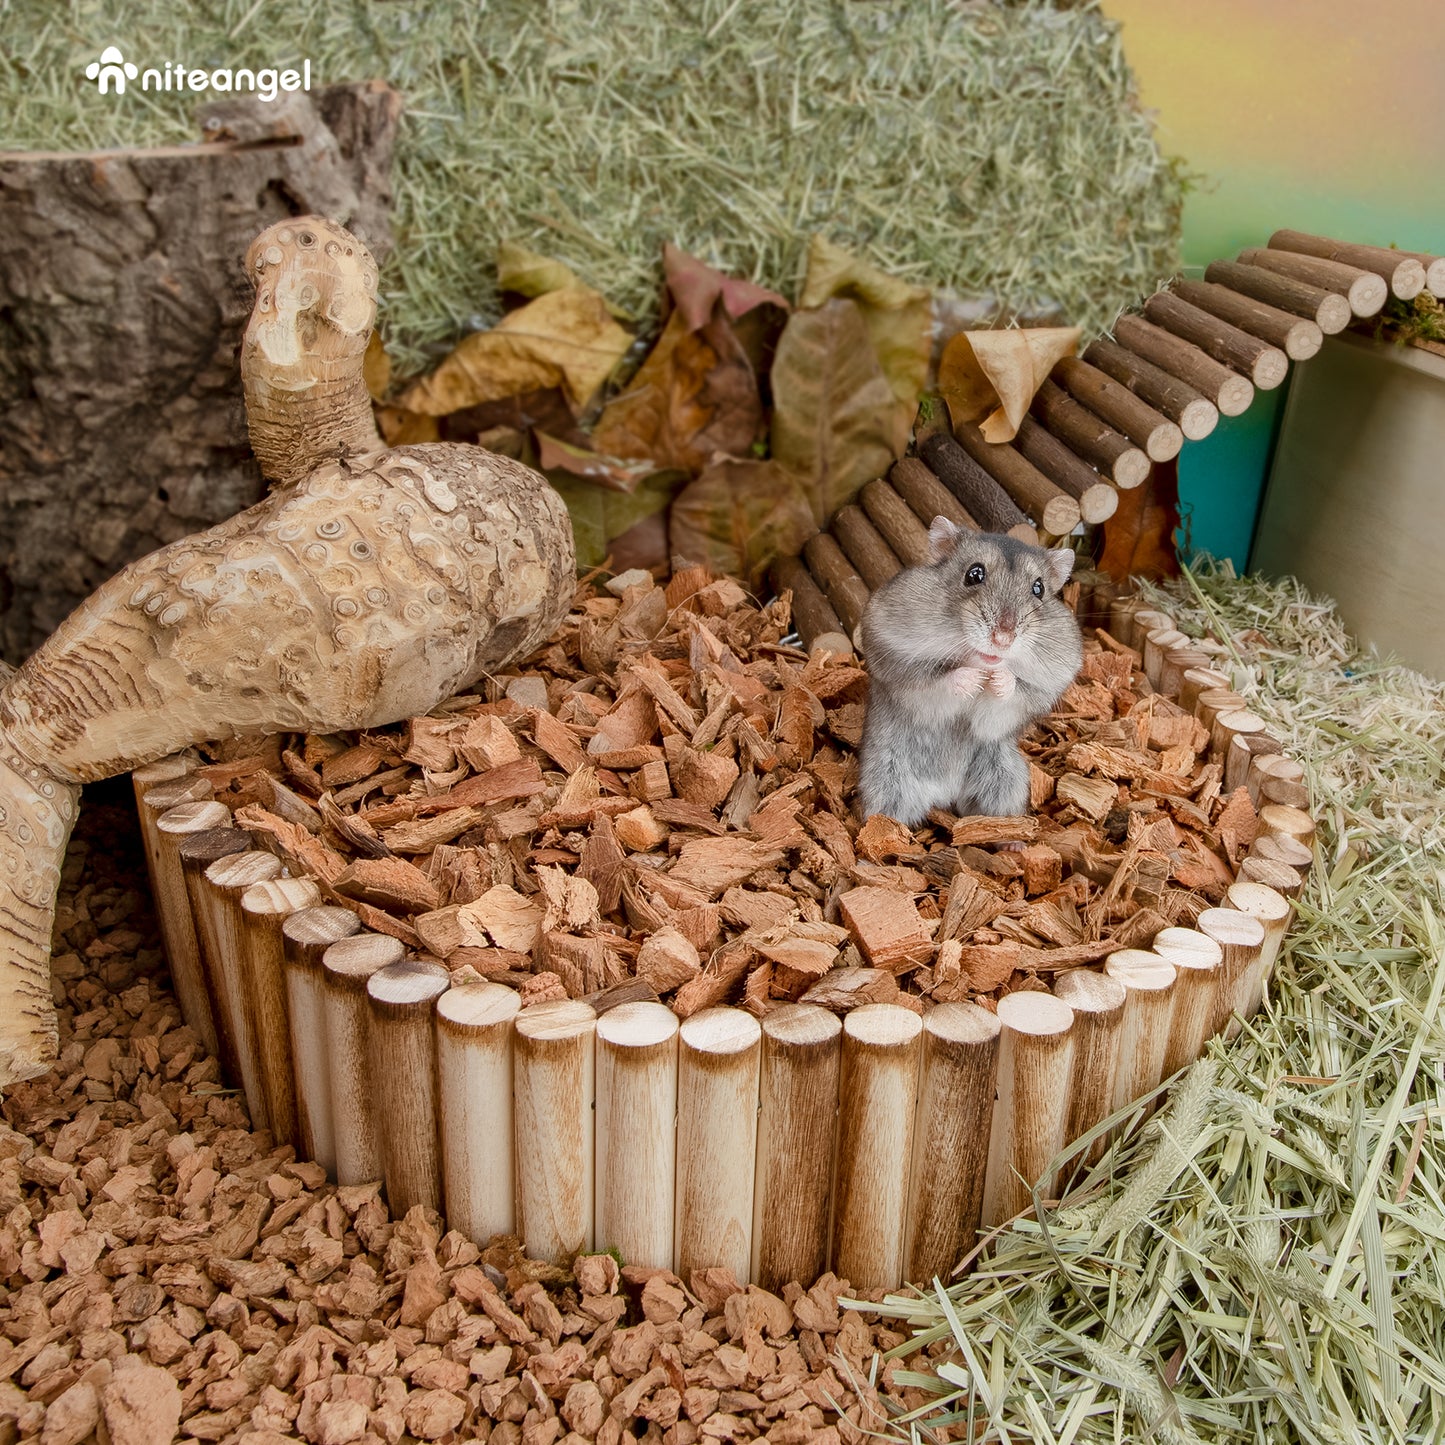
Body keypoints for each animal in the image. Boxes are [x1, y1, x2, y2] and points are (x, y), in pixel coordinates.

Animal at [857, 520, 1083, 827]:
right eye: (974, 574)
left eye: (1039, 588)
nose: (1003, 639)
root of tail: (945, 793)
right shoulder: (901, 669)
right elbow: (940, 681)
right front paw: (974, 677)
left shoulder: (1038, 693)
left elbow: (1012, 695)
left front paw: (998, 679)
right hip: (885, 780)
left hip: (1006, 778)